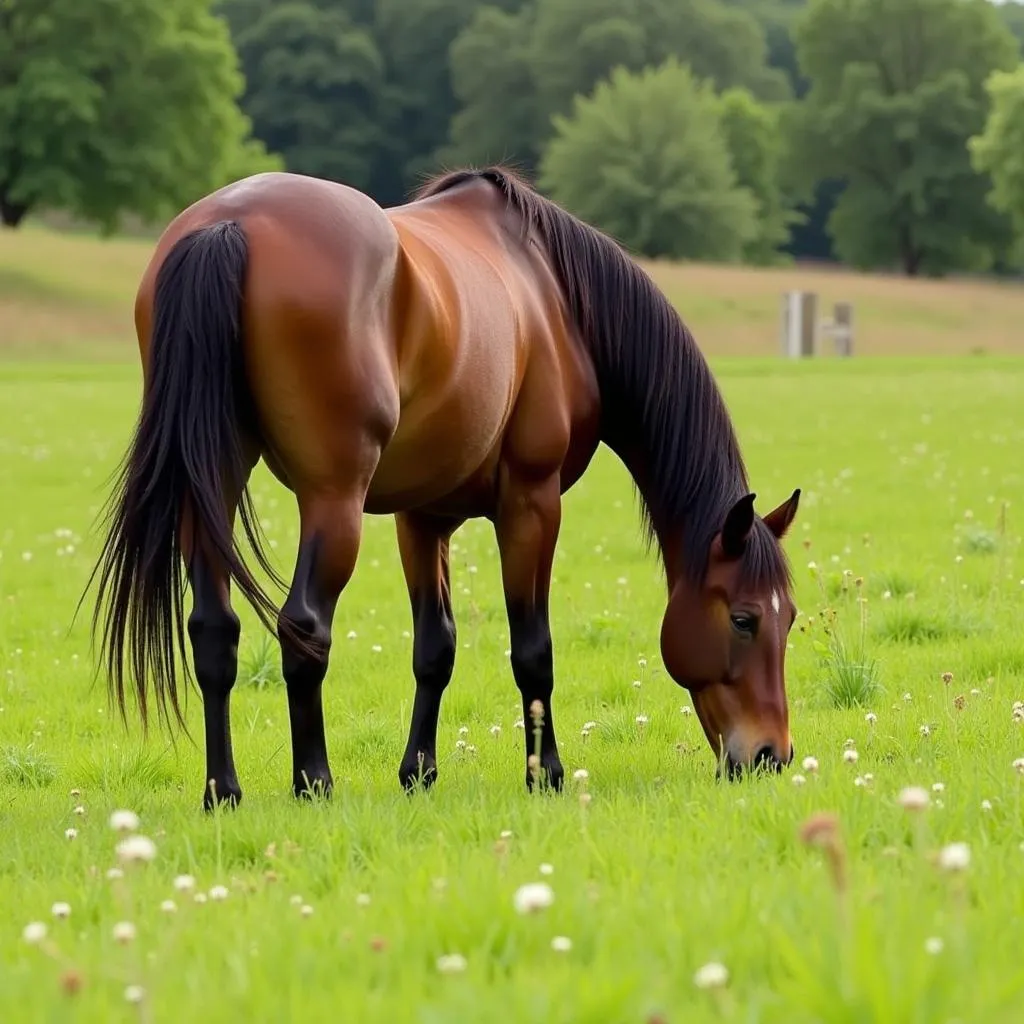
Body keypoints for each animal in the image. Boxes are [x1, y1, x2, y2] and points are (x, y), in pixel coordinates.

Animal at [86, 165, 798, 806]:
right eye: (745, 618)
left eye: (789, 617)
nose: (772, 755)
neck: (557, 299)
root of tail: (230, 223)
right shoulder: (532, 502)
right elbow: (533, 649)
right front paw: (546, 774)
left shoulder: (422, 517)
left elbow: (436, 648)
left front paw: (418, 773)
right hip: (332, 501)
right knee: (304, 627)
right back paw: (313, 780)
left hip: (210, 488)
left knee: (214, 630)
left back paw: (222, 789)